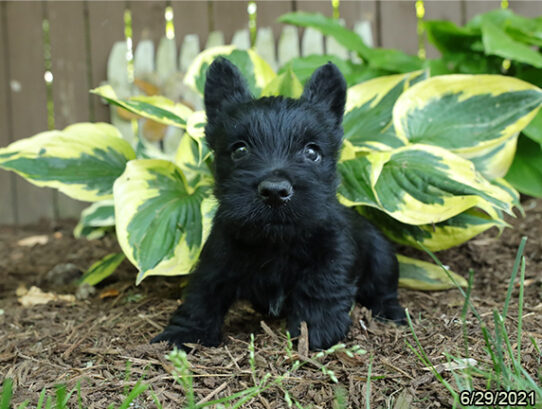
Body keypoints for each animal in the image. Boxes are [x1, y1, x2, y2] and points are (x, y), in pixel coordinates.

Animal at [151, 57, 406, 350]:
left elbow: (320, 287)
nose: (275, 192)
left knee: (383, 291)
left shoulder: (331, 257)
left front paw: (314, 331)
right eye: (240, 149)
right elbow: (201, 296)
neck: (274, 242)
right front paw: (185, 332)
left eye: (311, 151)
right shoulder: (215, 263)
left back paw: (390, 312)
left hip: (382, 259)